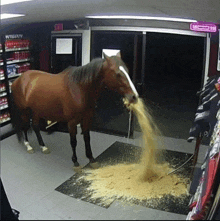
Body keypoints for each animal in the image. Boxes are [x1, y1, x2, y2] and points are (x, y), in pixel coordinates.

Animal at [10, 52, 138, 169]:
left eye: (127, 71)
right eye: (118, 74)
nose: (134, 96)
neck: (79, 88)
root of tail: (18, 80)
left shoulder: (87, 119)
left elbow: (87, 138)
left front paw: (91, 159)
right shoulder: (71, 122)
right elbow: (73, 141)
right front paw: (75, 162)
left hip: (36, 110)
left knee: (36, 126)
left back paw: (43, 146)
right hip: (24, 111)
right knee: (25, 127)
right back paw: (28, 146)